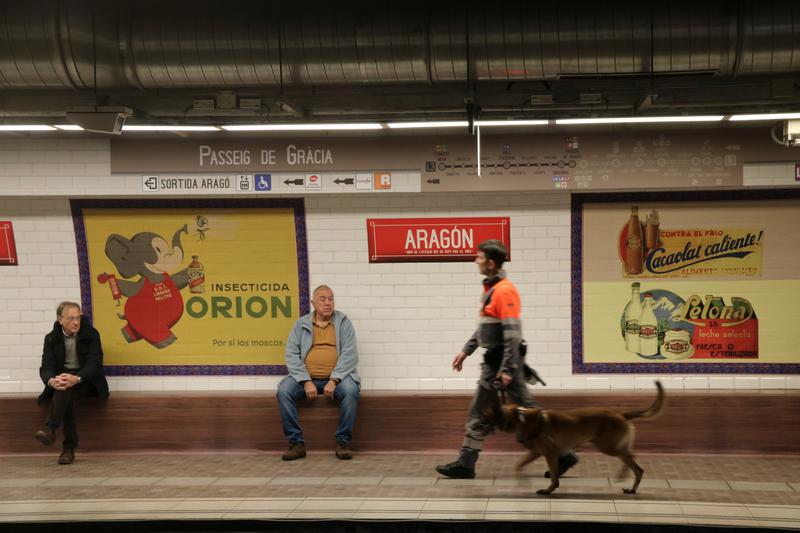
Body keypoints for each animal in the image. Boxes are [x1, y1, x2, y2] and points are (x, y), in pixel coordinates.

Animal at [488, 380, 664, 492]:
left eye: (486, 413)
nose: (479, 426)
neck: (520, 417)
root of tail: (621, 414)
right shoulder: (535, 453)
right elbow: (519, 465)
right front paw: (522, 480)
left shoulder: (550, 454)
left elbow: (553, 476)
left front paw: (548, 490)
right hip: (614, 447)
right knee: (635, 464)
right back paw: (630, 487)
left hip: (608, 447)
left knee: (634, 462)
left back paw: (625, 479)